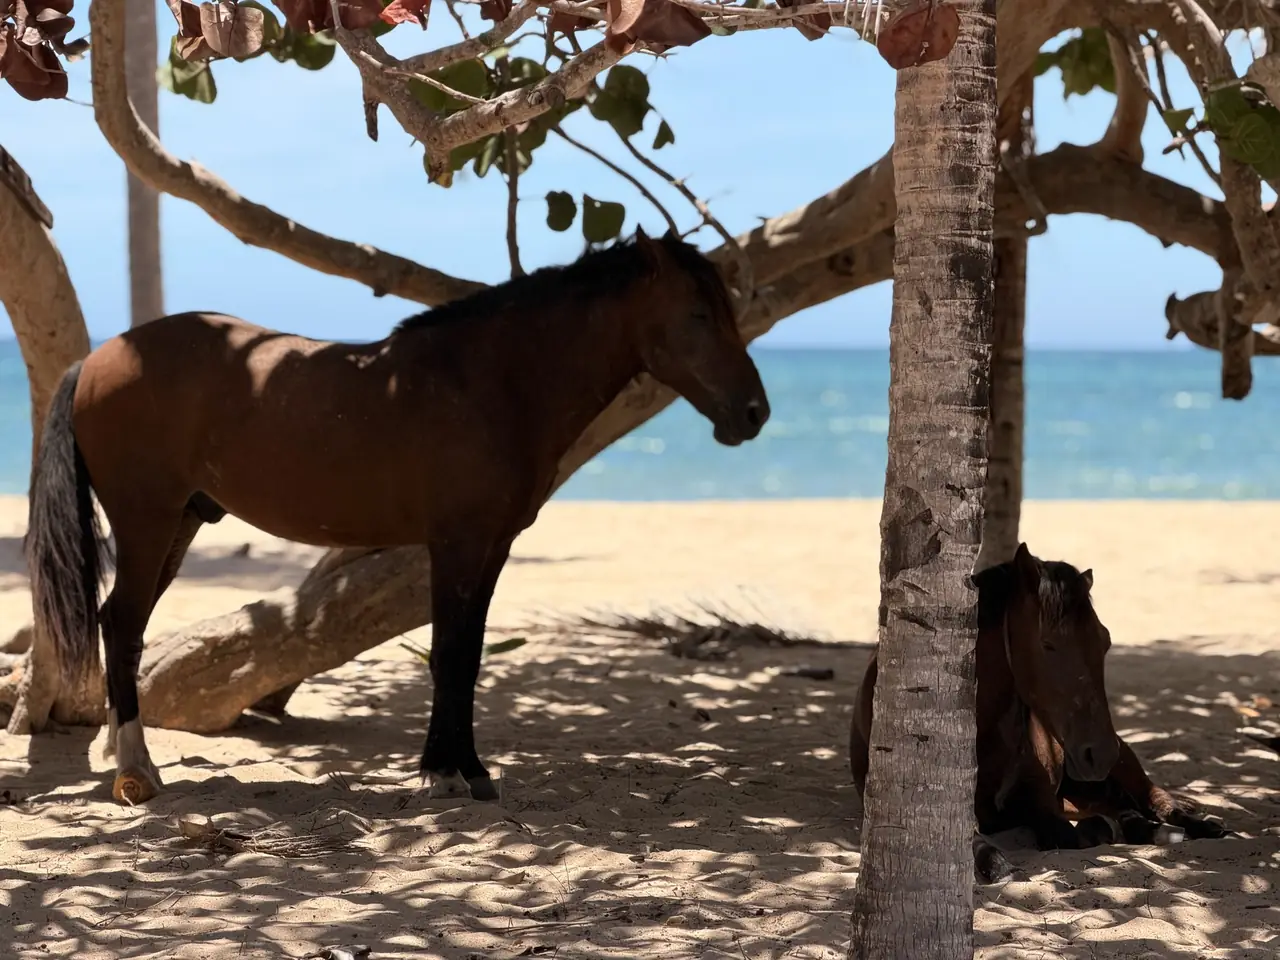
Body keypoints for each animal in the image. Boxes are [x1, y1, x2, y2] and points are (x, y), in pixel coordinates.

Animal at [25, 228, 771, 806]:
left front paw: (468, 771)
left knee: (122, 625)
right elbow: (448, 655)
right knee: (122, 625)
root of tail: (99, 357)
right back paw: (136, 772)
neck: (490, 383)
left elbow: (468, 656)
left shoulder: (491, 546)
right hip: (147, 520)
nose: (754, 413)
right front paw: (443, 773)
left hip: (180, 521)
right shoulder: (455, 544)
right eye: (698, 314)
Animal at [848, 543, 1226, 883]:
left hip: (1119, 766)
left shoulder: (1044, 803)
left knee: (1154, 799)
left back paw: (1194, 826)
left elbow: (1068, 833)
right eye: (1048, 644)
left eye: (1104, 640)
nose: (1100, 754)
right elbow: (981, 846)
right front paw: (997, 863)